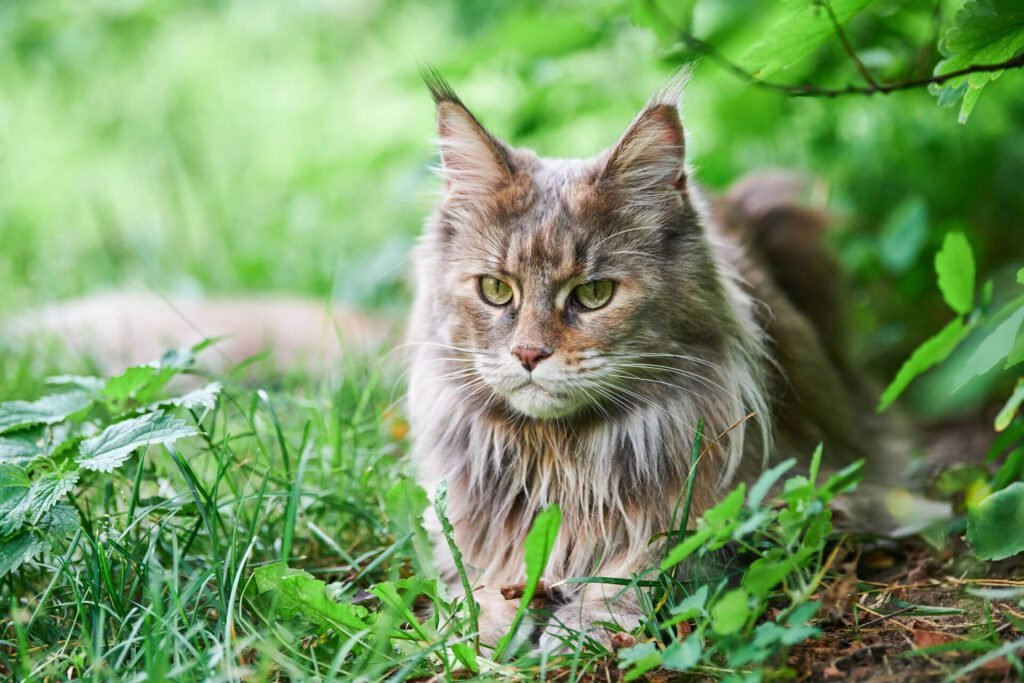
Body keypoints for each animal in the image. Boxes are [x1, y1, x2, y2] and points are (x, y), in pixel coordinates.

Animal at [403, 70, 917, 651]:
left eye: (594, 294)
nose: (529, 353)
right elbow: (481, 578)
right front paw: (469, 630)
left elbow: (649, 563)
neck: (566, 459)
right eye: (495, 289)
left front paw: (586, 625)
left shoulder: (764, 503)